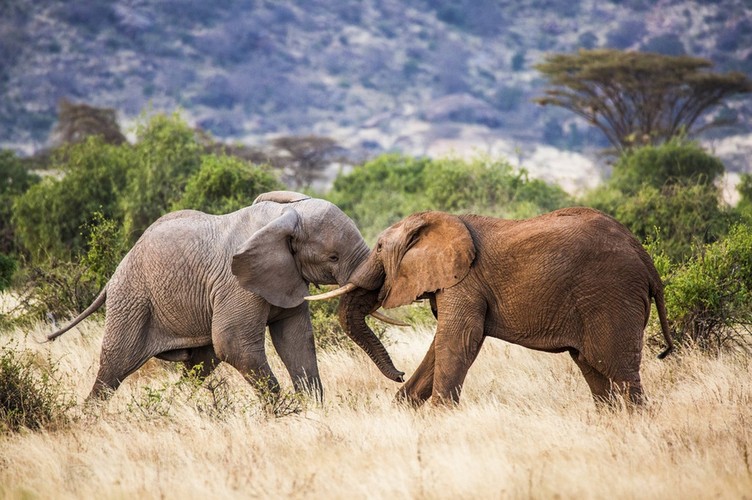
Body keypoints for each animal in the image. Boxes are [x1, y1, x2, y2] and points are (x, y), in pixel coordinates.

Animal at [47, 189, 406, 400]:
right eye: (333, 257)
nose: (402, 375)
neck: (281, 218)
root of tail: (115, 272)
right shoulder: (235, 284)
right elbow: (234, 343)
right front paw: (284, 415)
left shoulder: (286, 275)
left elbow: (296, 340)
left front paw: (311, 412)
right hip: (132, 299)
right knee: (114, 366)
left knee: (200, 363)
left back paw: (181, 405)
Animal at [308, 207, 672, 406]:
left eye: (381, 248)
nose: (398, 374)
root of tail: (645, 258)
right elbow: (440, 346)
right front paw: (402, 411)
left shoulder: (465, 281)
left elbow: (458, 340)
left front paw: (439, 417)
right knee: (593, 369)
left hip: (612, 296)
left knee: (619, 371)